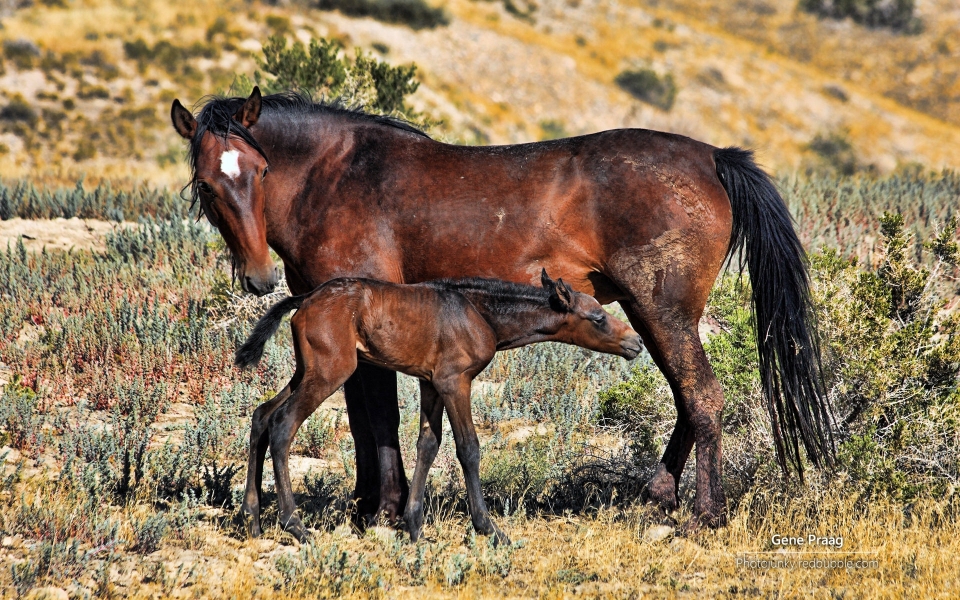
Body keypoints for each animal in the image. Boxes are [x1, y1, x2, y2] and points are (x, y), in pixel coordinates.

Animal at [233, 272, 640, 544]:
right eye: (598, 318)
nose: (635, 342)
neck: (479, 312)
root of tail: (305, 300)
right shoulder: (455, 381)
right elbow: (468, 448)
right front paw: (489, 528)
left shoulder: (430, 383)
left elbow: (428, 445)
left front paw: (413, 526)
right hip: (330, 370)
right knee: (283, 424)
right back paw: (295, 525)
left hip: (307, 370)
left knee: (261, 416)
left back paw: (252, 519)